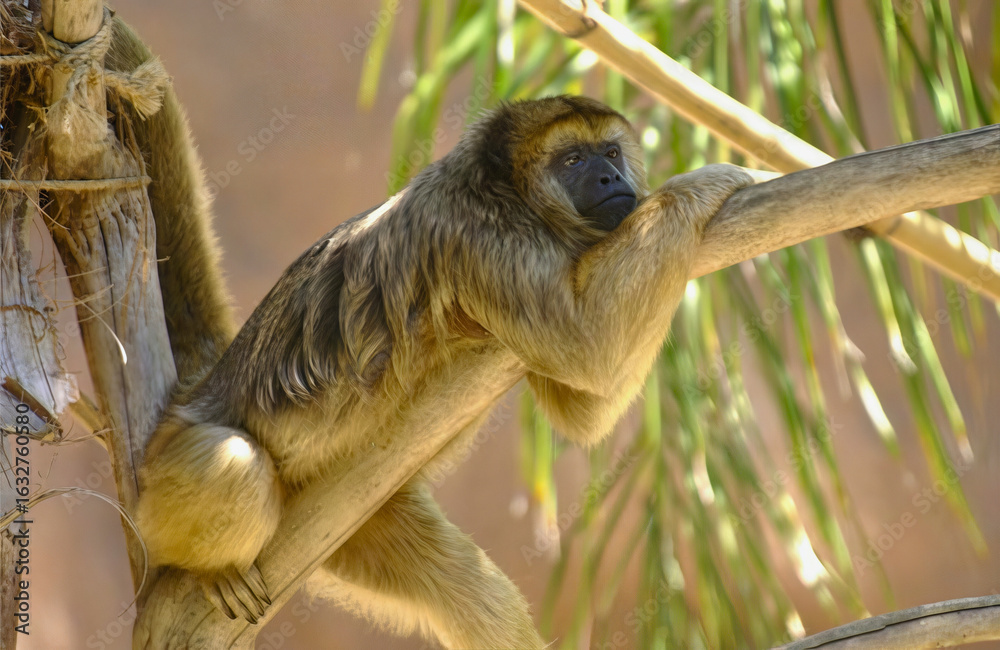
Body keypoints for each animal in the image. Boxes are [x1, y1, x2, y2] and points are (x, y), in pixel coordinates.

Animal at [106, 20, 753, 646]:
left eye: (611, 150)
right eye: (573, 160)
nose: (611, 174)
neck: (507, 194)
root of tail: (196, 391)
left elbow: (582, 404)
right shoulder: (479, 233)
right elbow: (588, 347)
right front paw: (702, 182)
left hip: (347, 524)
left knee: (465, 584)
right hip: (161, 487)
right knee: (233, 469)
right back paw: (201, 569)